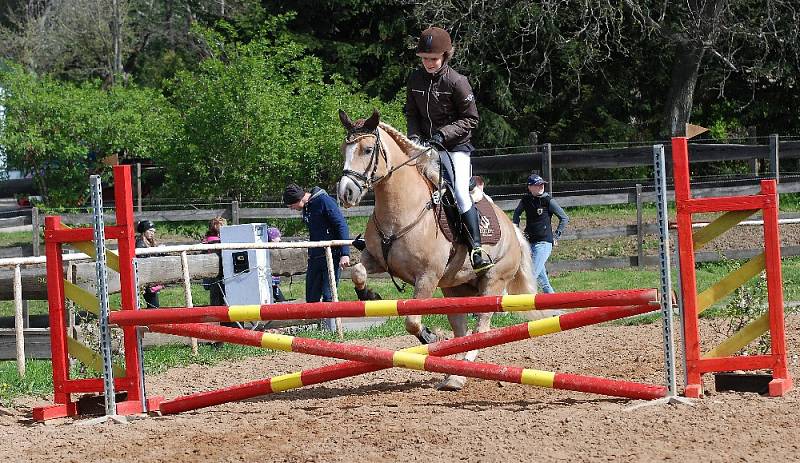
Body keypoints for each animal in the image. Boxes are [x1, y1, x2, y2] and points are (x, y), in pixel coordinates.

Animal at [338, 109, 536, 392]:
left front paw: (429, 335)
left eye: (366, 149)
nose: (345, 193)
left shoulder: (427, 277)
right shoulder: (376, 259)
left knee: (481, 328)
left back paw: (461, 372)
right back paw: (453, 374)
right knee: (462, 330)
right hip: (454, 288)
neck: (400, 207)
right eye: (344, 148)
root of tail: (513, 229)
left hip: (493, 282)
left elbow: (412, 321)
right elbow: (357, 271)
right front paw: (370, 295)